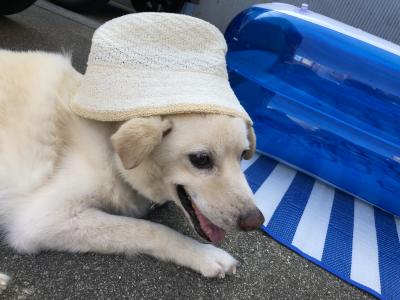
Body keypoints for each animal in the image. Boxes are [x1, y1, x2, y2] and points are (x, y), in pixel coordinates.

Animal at [0, 50, 266, 280]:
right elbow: (150, 229)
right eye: (201, 159)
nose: (256, 221)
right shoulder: (43, 219)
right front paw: (203, 254)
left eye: (243, 155)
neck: (112, 150)